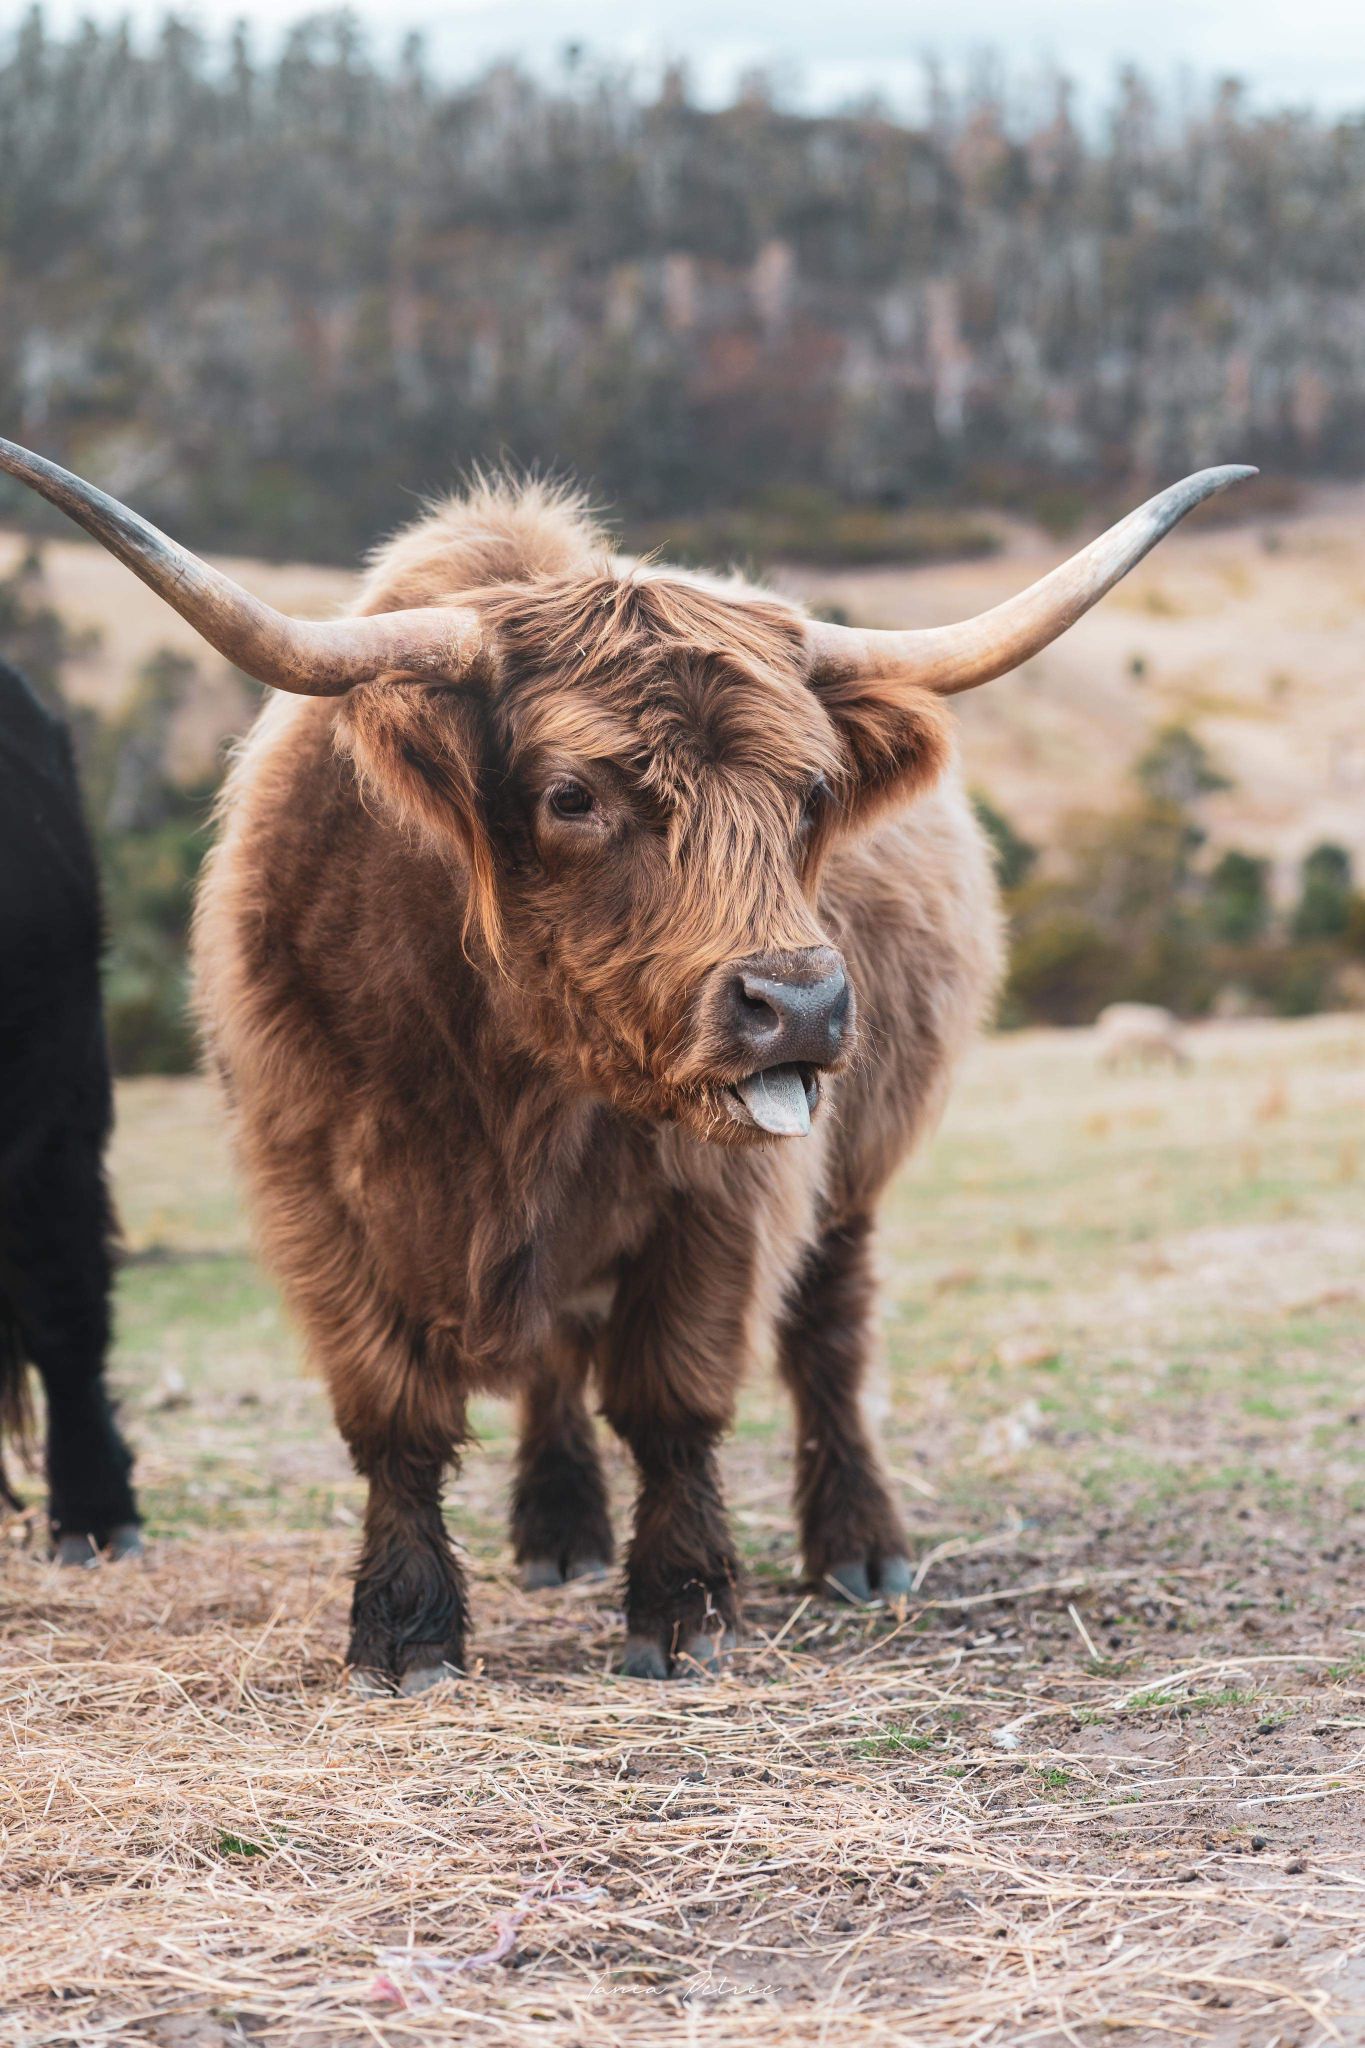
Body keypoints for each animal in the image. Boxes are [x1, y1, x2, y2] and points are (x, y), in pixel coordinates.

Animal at [0, 438, 1252, 1683]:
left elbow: (673, 1396)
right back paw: (560, 1533)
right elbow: (392, 1408)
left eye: (813, 791)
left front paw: (685, 1609)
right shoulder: (312, 1182)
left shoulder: (727, 1192)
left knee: (827, 1335)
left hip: (853, 1174)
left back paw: (859, 1547)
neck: (503, 1065)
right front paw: (405, 1626)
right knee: (558, 1351)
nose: (799, 1004)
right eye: (573, 795)